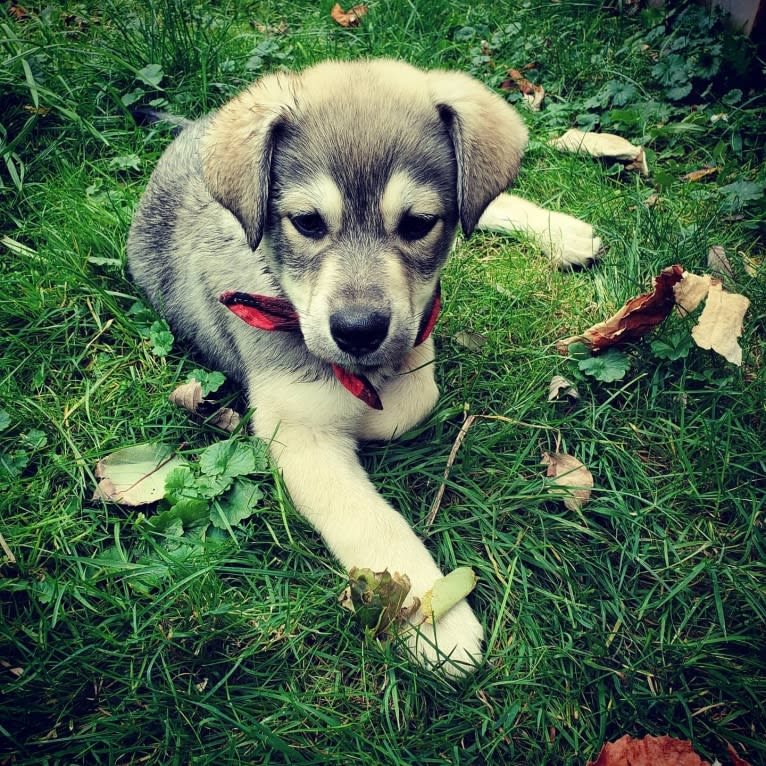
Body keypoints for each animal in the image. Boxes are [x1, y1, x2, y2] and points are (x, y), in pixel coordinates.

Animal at [129, 58, 604, 680]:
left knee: (484, 206)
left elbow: (414, 390)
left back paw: (564, 232)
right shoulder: (297, 432)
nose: (357, 331)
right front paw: (436, 621)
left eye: (419, 222)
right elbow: (372, 519)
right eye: (306, 222)